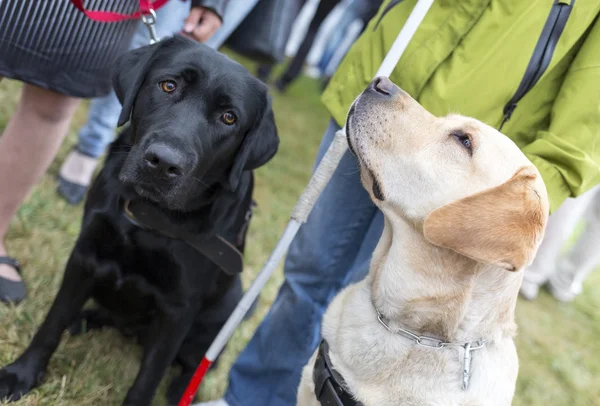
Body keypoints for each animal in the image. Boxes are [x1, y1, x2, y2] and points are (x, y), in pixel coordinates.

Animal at [0, 35, 278, 406]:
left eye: (229, 117)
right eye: (168, 85)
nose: (163, 163)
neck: (148, 216)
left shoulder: (179, 309)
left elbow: (149, 377)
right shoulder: (85, 256)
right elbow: (52, 322)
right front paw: (21, 374)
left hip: (228, 307)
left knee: (196, 364)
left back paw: (181, 391)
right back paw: (83, 318)